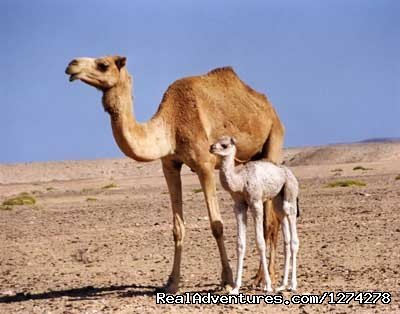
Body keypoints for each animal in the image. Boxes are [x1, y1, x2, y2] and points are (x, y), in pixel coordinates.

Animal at [211, 137, 298, 294]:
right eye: (215, 141)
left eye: (224, 145)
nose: (211, 148)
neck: (240, 181)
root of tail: (288, 172)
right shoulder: (239, 206)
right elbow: (240, 244)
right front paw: (235, 288)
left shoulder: (256, 202)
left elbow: (260, 242)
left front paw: (267, 285)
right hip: (277, 200)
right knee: (285, 236)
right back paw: (282, 285)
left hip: (290, 192)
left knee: (293, 234)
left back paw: (293, 285)